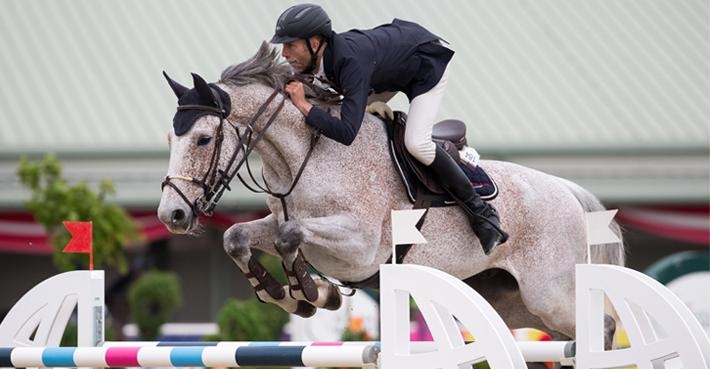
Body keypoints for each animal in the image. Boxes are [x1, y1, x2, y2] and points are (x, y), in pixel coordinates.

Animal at [159, 42, 624, 342]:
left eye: (202, 139)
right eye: (169, 139)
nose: (171, 216)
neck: (307, 153)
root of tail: (567, 192)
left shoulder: (362, 246)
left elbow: (289, 237)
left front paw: (309, 291)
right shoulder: (285, 222)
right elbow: (237, 237)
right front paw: (293, 295)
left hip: (549, 292)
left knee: (600, 326)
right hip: (516, 301)